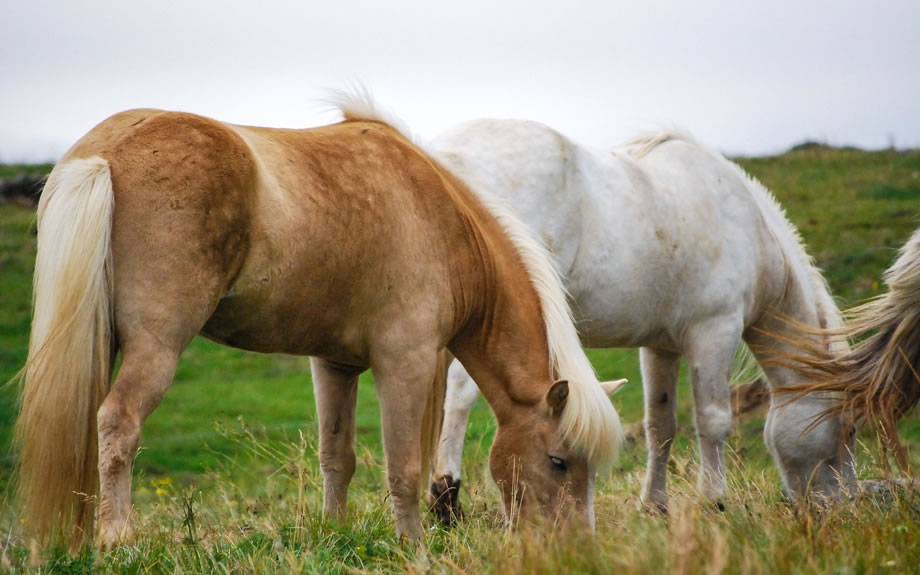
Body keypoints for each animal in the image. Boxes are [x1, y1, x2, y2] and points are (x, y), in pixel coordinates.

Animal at [14, 95, 620, 552]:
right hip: (156, 347)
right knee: (118, 423)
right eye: (560, 461)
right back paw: (117, 541)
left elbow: (338, 458)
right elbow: (404, 467)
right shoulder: (406, 363)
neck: (440, 219)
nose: (578, 548)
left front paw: (335, 534)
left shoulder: (335, 364)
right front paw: (415, 550)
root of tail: (104, 154)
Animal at [428, 119, 860, 520]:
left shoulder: (659, 347)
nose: (847, 503)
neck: (752, 234)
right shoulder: (715, 331)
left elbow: (660, 427)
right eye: (849, 429)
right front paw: (713, 502)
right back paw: (446, 495)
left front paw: (654, 505)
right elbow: (714, 421)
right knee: (460, 396)